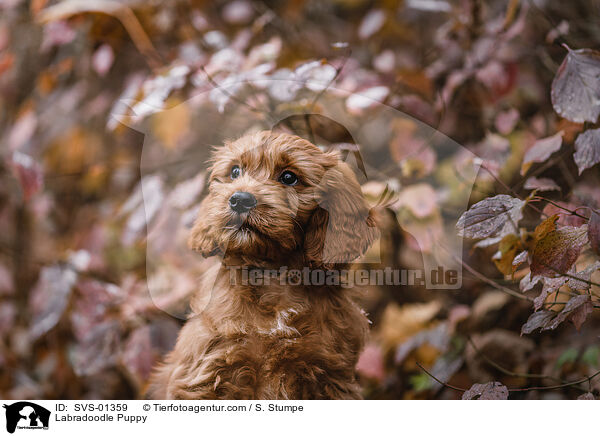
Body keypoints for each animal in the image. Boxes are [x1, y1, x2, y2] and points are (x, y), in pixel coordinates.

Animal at [147, 130, 378, 398]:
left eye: (289, 177)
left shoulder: (331, 374)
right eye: (235, 171)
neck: (271, 275)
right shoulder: (206, 371)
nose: (239, 200)